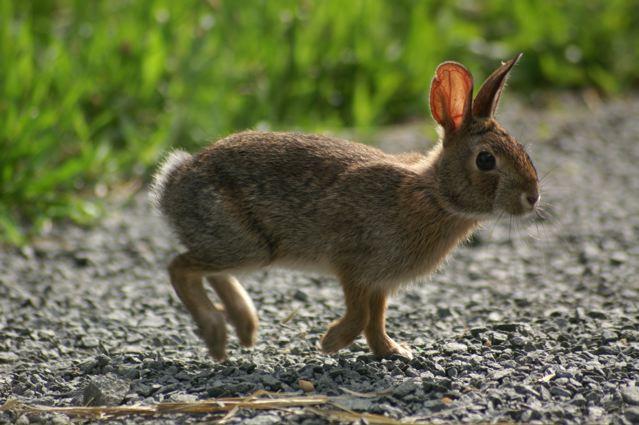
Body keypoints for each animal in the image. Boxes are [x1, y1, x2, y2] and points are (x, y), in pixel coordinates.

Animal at [151, 51, 540, 360]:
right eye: (486, 160)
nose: (532, 197)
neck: (435, 195)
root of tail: (172, 182)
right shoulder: (352, 264)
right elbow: (360, 316)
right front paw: (330, 343)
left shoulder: (380, 282)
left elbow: (376, 320)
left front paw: (393, 351)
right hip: (246, 244)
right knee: (179, 267)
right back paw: (217, 334)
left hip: (241, 248)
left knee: (207, 270)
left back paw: (244, 328)